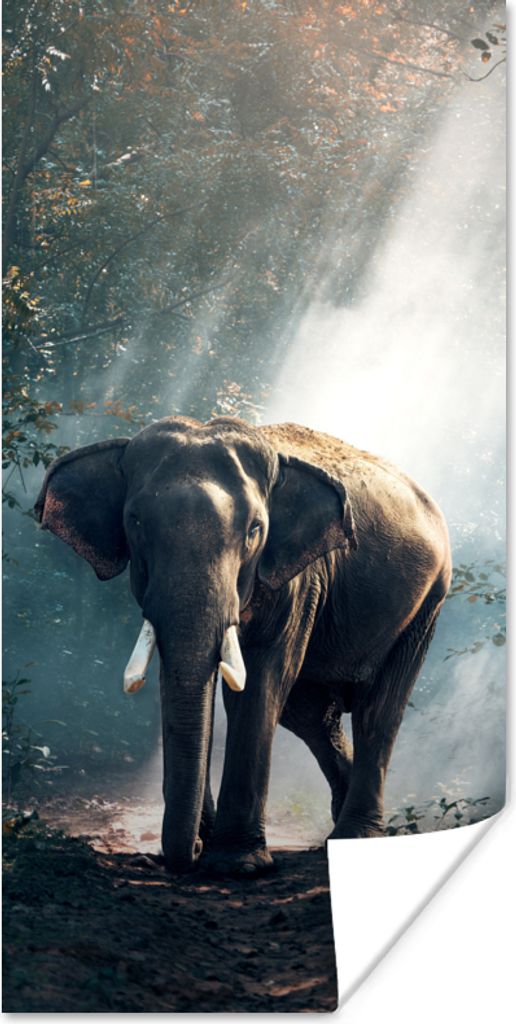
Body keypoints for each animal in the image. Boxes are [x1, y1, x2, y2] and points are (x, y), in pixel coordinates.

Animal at [35, 416, 451, 876]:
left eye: (255, 529)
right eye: (135, 522)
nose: (191, 851)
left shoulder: (299, 579)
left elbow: (260, 682)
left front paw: (237, 863)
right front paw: (211, 845)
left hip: (427, 603)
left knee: (378, 711)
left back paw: (355, 837)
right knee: (310, 715)